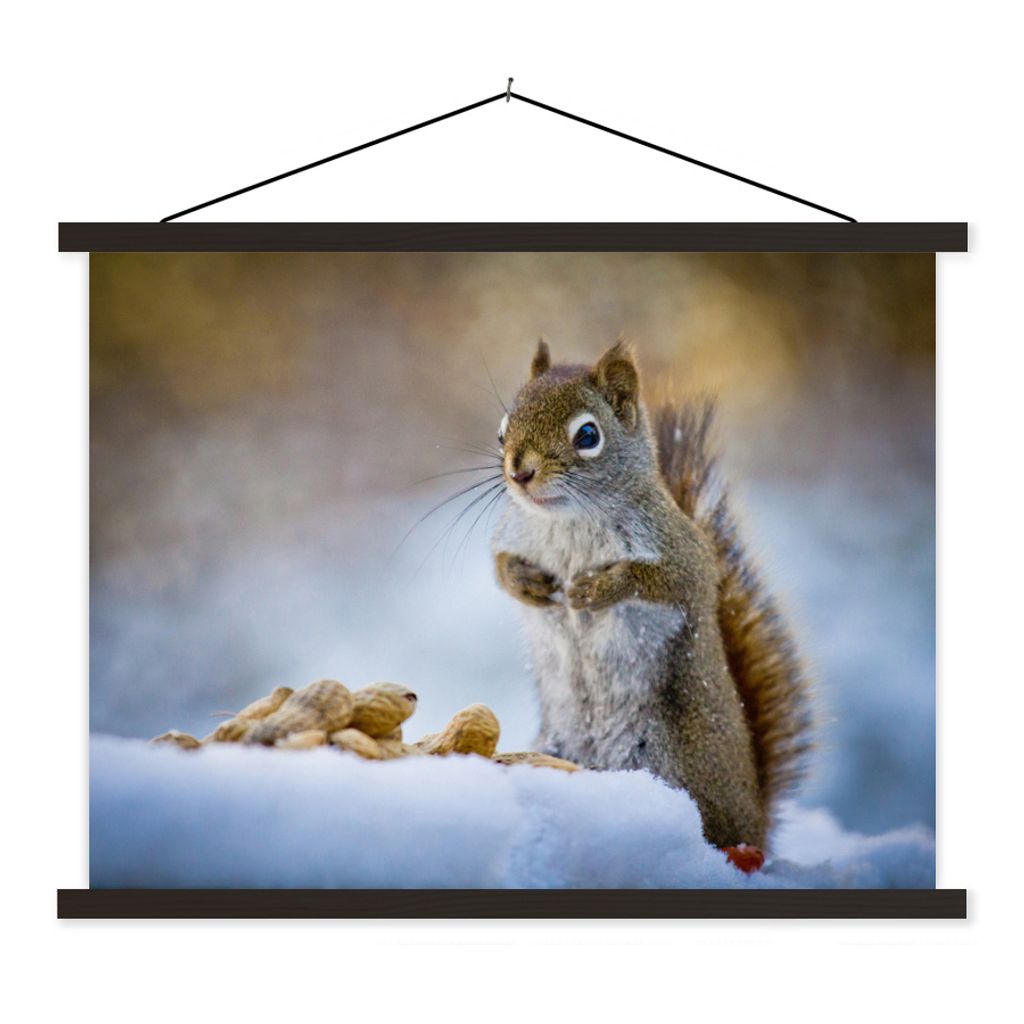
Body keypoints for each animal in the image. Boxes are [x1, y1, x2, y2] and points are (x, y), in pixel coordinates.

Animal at [491, 339, 812, 871]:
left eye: (587, 435)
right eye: (501, 431)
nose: (520, 472)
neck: (569, 520)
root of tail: (757, 819)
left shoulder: (684, 555)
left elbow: (664, 580)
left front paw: (594, 590)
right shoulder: (512, 534)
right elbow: (499, 567)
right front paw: (528, 584)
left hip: (673, 764)